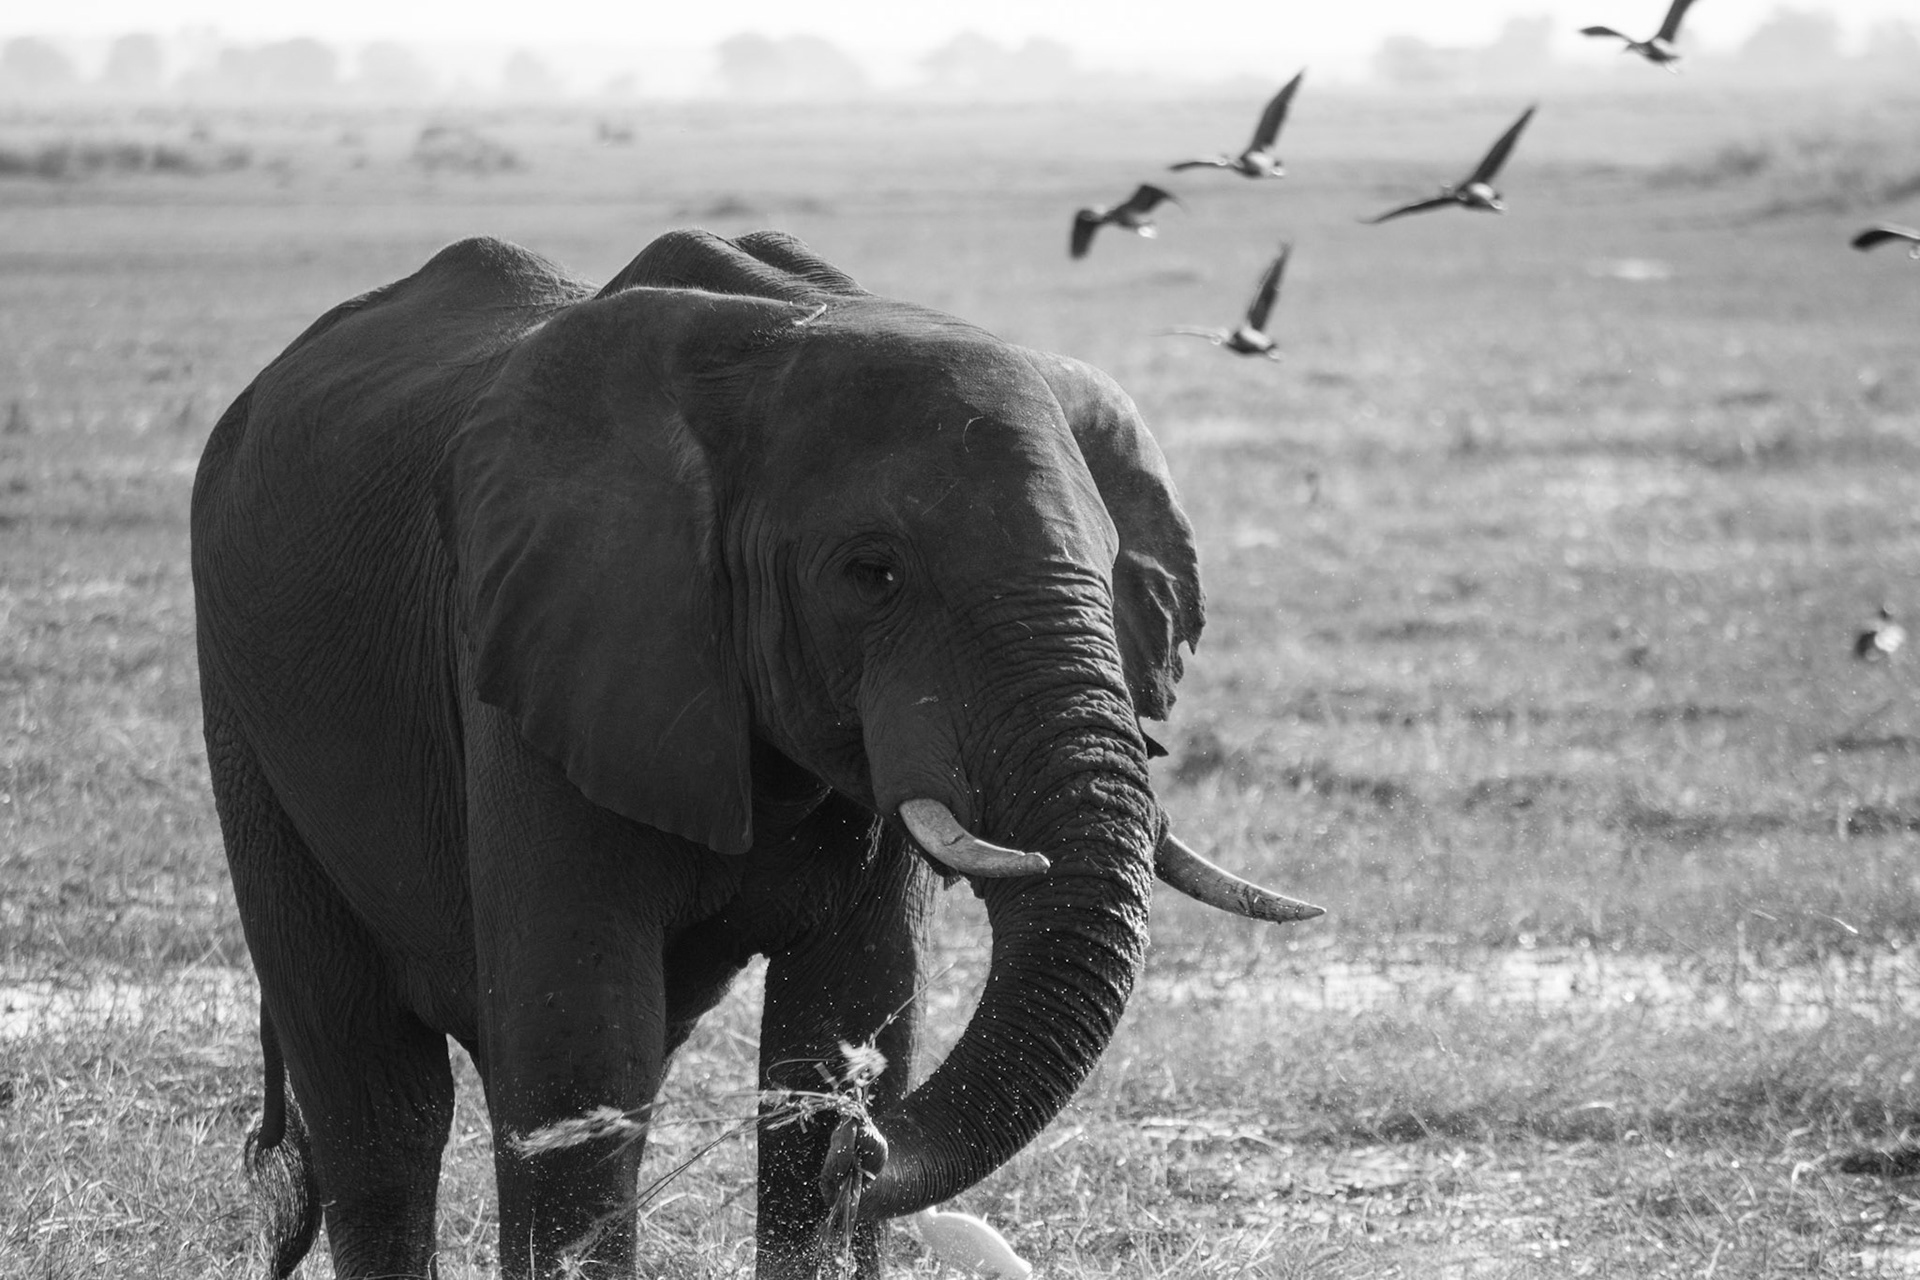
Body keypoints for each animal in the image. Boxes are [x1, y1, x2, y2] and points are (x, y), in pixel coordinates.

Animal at [191, 227, 1319, 1279]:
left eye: (1111, 570)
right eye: (873, 573)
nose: (866, 1154)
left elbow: (843, 1014)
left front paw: (834, 1128)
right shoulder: (541, 638)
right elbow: (579, 1047)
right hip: (242, 703)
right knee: (380, 1103)